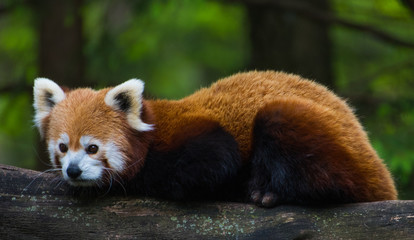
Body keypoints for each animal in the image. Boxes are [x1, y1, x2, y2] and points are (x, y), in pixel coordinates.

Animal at [33, 71, 398, 206]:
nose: (73, 171)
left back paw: (269, 191)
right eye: (63, 148)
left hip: (317, 135)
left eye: (92, 148)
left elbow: (215, 163)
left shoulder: (196, 136)